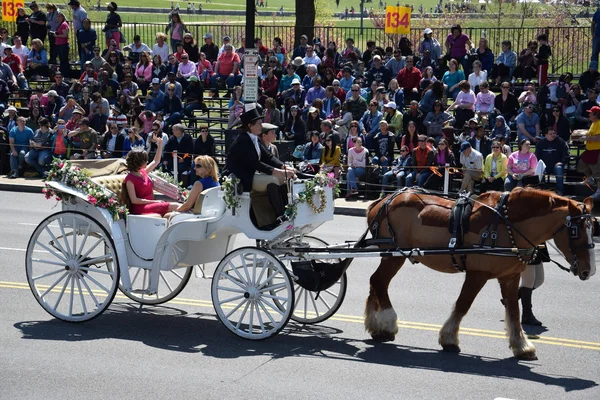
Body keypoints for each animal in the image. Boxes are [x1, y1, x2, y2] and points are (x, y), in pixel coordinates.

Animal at [366, 188, 596, 360]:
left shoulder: (510, 277)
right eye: (575, 231)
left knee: (375, 282)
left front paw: (521, 345)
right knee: (379, 282)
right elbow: (463, 304)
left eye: (593, 227)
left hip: (390, 255)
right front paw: (449, 338)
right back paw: (389, 324)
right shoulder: (477, 274)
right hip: (394, 255)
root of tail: (382, 201)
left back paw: (375, 326)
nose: (589, 270)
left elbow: (514, 311)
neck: (508, 225)